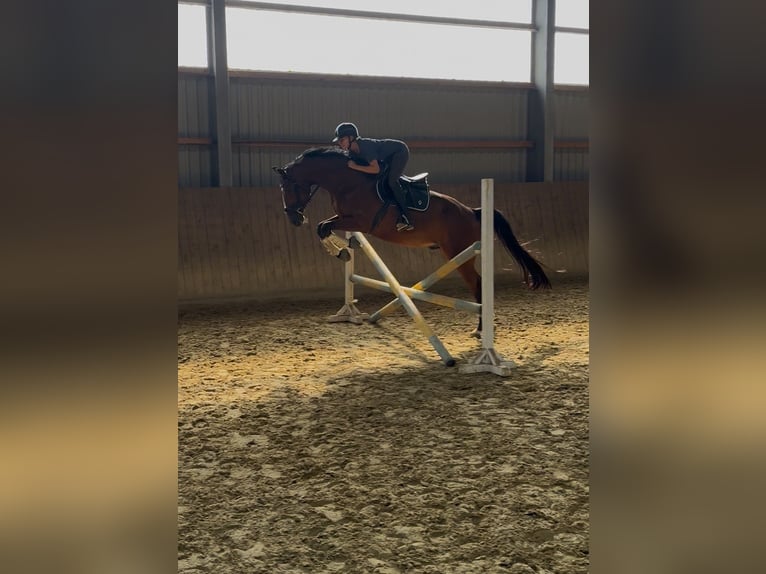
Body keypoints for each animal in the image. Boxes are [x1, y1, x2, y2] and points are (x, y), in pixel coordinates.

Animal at [272, 147, 550, 333]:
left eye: (289, 187)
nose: (293, 218)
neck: (348, 181)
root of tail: (471, 211)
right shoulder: (345, 218)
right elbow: (323, 226)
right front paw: (346, 249)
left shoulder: (360, 222)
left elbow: (322, 227)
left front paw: (341, 252)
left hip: (459, 254)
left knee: (478, 284)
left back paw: (481, 329)